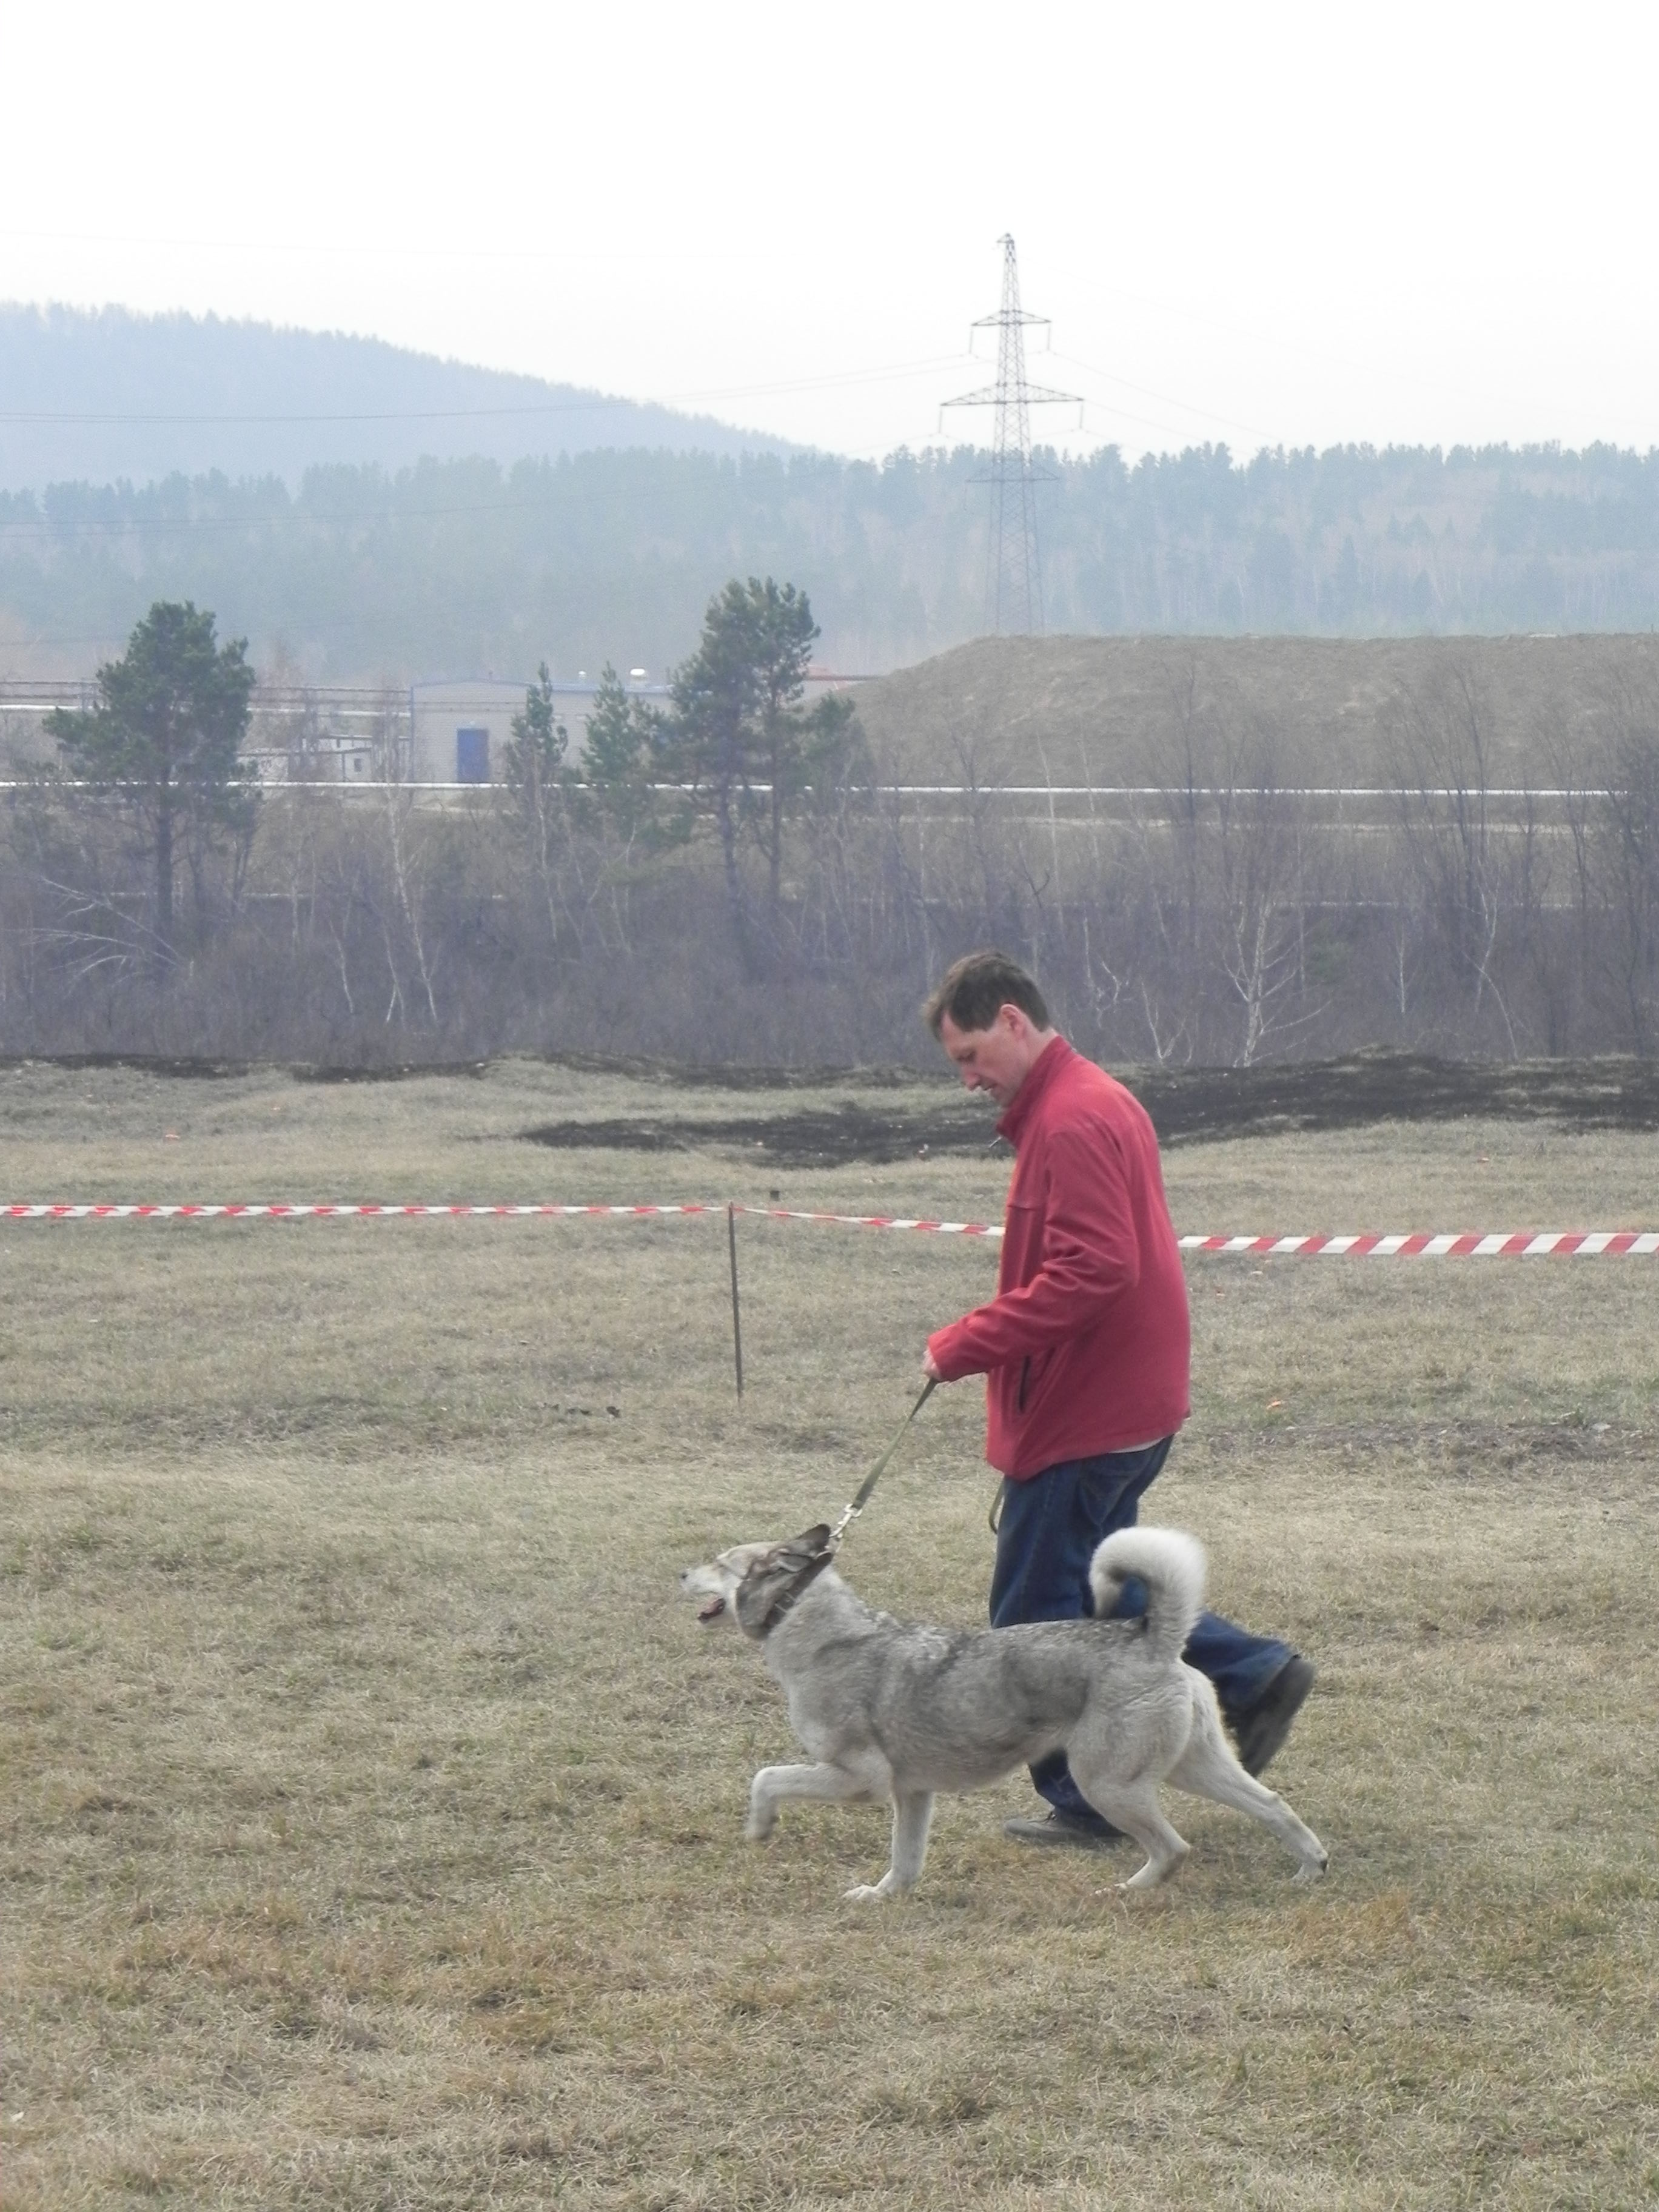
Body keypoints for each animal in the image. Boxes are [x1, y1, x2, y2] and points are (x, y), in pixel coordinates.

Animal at [681, 1522, 1327, 1901]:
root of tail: (1150, 1637)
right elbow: (905, 1860)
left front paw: (760, 1828)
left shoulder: (859, 1780)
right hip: (1194, 1770)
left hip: (1108, 1785)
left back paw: (1127, 1891)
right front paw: (884, 1899)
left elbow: (766, 1778)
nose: (681, 1571)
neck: (816, 1633)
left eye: (719, 1560)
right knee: (1274, 1805)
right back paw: (1310, 1868)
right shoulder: (912, 1794)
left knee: (1174, 1849)